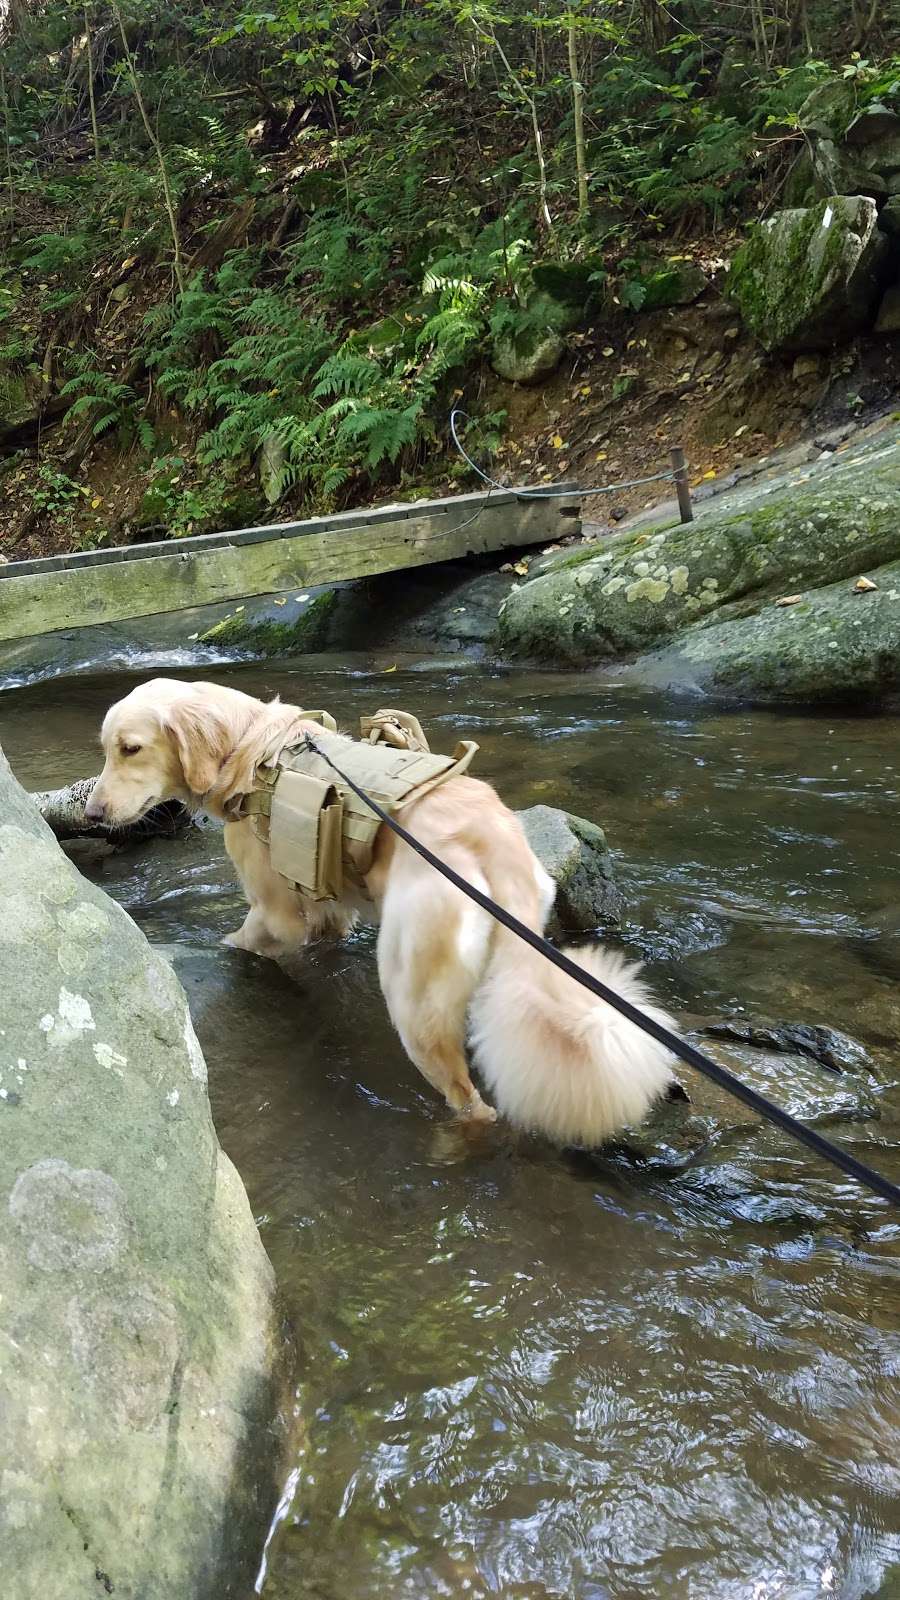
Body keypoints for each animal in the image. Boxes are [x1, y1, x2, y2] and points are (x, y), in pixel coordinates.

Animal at [87, 675, 672, 1139]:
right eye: (108, 748)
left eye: (130, 748)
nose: (91, 814)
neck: (252, 752)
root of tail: (495, 850)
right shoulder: (328, 911)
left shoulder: (275, 913)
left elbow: (241, 940)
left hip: (412, 1000)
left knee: (470, 1102)